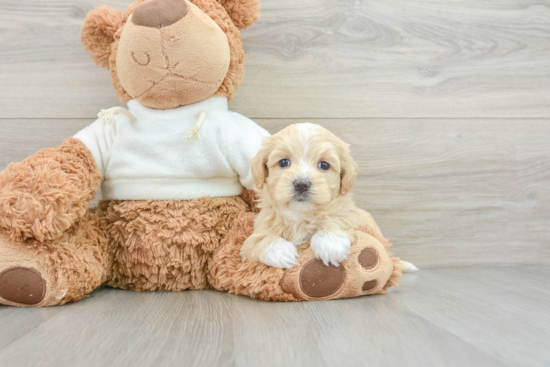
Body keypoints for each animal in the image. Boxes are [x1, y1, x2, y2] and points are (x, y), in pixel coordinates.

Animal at [242, 122, 384, 268]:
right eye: (283, 162)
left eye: (324, 165)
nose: (301, 184)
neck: (301, 214)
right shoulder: (257, 232)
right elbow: (259, 239)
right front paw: (280, 251)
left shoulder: (352, 215)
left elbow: (340, 217)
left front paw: (329, 243)